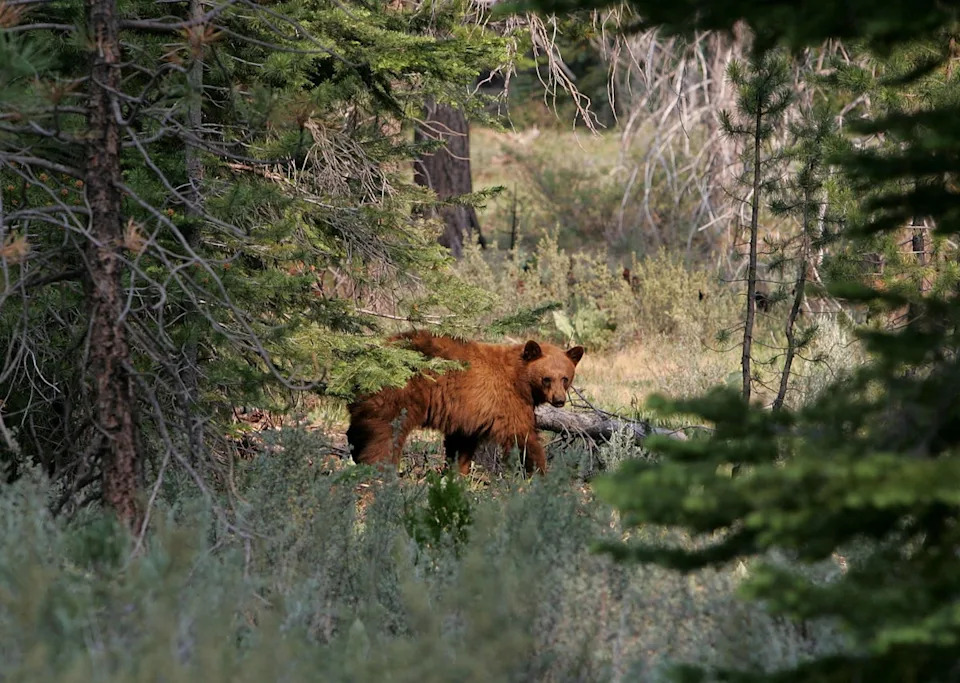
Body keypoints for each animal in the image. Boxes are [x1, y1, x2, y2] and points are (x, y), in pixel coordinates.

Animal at [347, 331, 584, 475]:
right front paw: (539, 472)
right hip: (400, 393)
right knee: (385, 432)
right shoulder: (506, 401)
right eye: (547, 378)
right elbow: (522, 436)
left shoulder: (469, 411)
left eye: (565, 378)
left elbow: (461, 442)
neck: (520, 378)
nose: (559, 400)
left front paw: (456, 473)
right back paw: (379, 467)